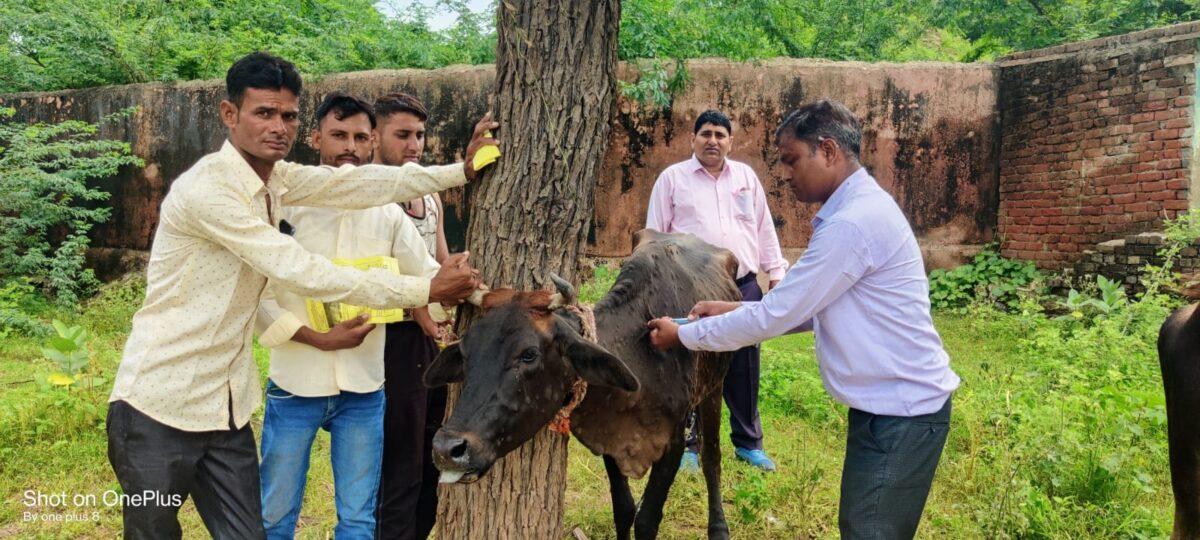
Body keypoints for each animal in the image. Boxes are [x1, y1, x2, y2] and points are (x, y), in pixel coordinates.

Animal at [422, 230, 739, 537]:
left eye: (529, 354)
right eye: (466, 352)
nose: (446, 449)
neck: (640, 350)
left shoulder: (672, 445)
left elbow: (647, 521)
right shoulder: (610, 439)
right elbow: (624, 510)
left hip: (715, 388)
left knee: (712, 457)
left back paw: (719, 528)